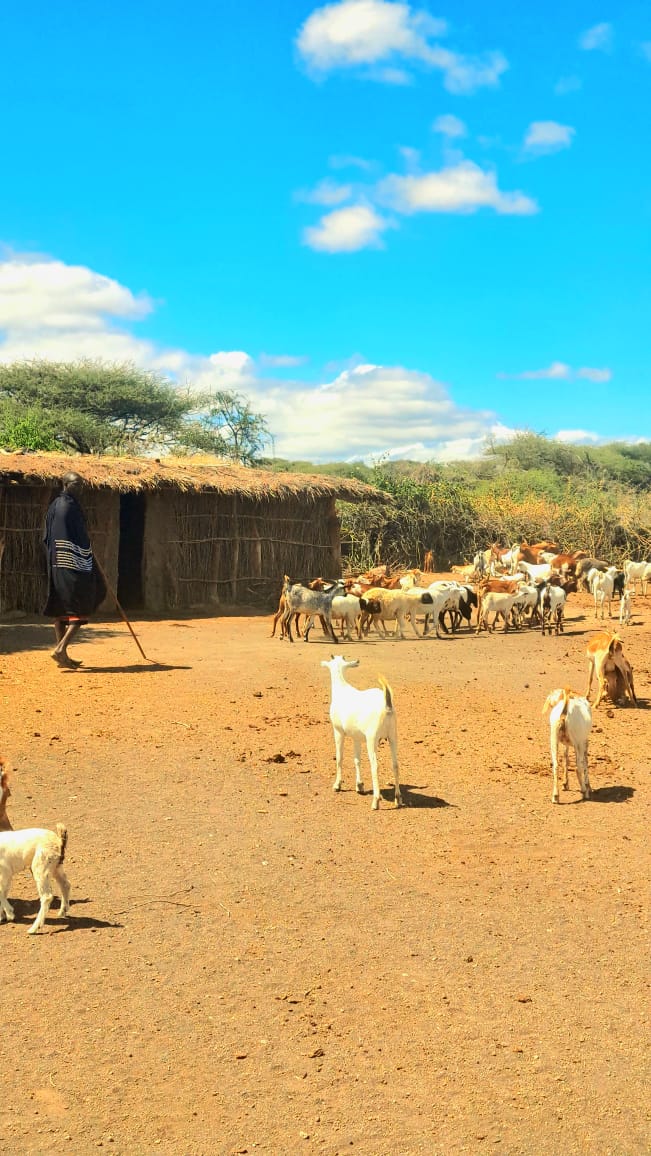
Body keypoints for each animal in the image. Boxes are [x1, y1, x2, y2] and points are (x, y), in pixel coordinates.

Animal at [321, 655, 402, 811]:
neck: (341, 689)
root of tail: (386, 705)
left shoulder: (338, 731)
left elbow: (339, 757)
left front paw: (337, 785)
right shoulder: (356, 737)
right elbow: (357, 759)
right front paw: (359, 786)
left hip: (372, 739)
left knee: (375, 766)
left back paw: (375, 801)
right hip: (393, 736)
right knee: (395, 765)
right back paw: (398, 799)